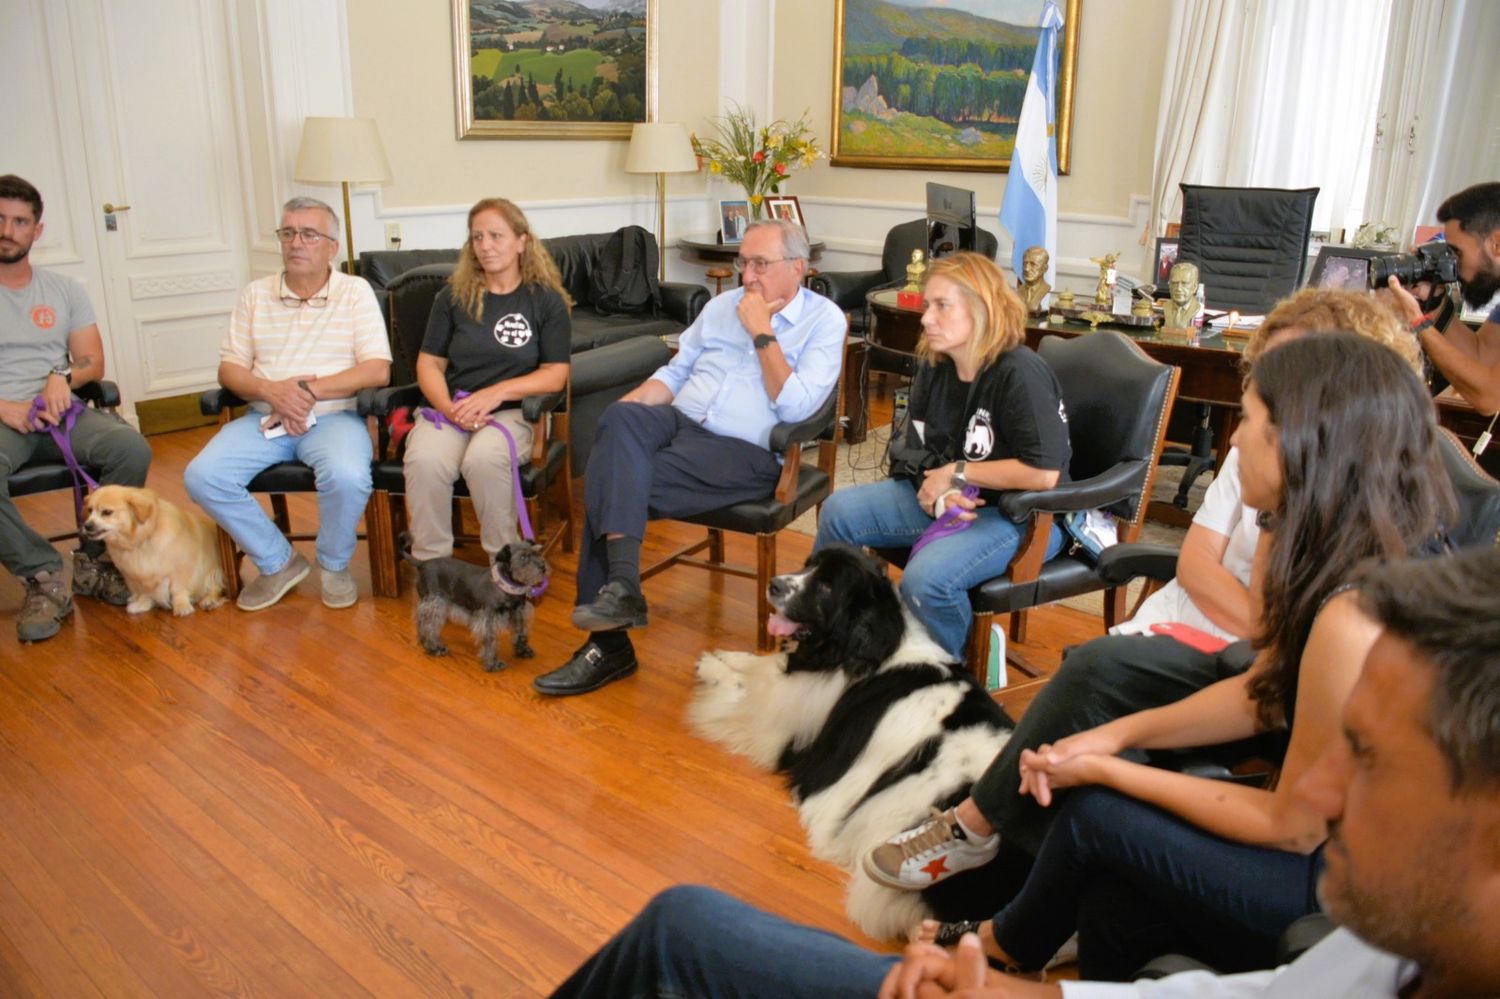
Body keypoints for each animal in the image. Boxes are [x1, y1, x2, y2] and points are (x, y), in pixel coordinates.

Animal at [82, 483, 225, 615]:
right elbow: (145, 593)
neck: (142, 539)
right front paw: (142, 605)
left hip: (214, 573)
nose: (87, 526)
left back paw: (209, 601)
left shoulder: (180, 570)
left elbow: (178, 590)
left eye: (107, 512)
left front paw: (181, 606)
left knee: (215, 587)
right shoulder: (140, 577)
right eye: (89, 510)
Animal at [402, 528, 549, 669]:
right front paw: (492, 663)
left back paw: (424, 641)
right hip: (435, 604)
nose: (543, 567)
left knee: (420, 621)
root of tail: (421, 563)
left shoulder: (518, 613)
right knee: (429, 626)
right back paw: (434, 647)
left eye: (536, 553)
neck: (506, 588)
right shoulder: (488, 620)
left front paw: (522, 651)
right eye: (523, 557)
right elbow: (490, 641)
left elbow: (520, 632)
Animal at [690, 540, 1020, 936]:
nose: (774, 584)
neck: (863, 647)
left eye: (827, 586)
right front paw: (726, 656)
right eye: (808, 566)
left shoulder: (785, 722)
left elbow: (749, 691)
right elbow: (759, 664)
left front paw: (714, 668)